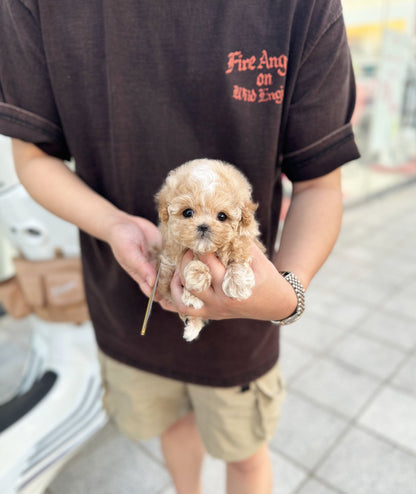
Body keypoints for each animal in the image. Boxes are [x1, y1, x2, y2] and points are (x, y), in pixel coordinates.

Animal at [154, 160, 264, 342]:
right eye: (188, 212)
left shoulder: (246, 237)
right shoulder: (171, 251)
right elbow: (187, 259)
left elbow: (238, 252)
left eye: (222, 216)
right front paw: (196, 283)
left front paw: (238, 283)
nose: (203, 226)